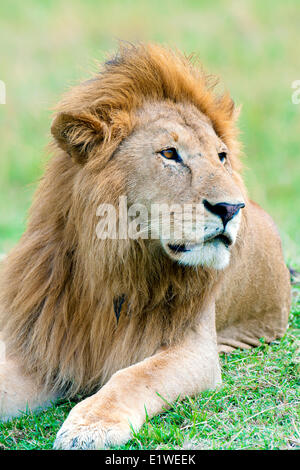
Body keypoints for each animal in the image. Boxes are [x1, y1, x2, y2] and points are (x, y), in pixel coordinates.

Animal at [0, 45, 290, 452]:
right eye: (169, 154)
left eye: (221, 157)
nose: (232, 208)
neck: (110, 268)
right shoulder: (45, 344)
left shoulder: (195, 349)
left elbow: (134, 376)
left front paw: (91, 425)